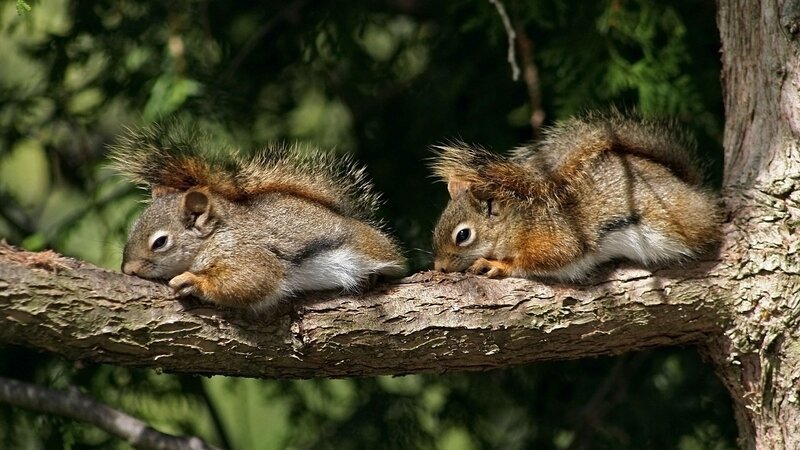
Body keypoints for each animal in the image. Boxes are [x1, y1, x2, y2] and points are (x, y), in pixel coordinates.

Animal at [110, 122, 406, 309]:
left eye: (160, 242)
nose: (128, 270)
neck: (214, 236)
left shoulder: (246, 252)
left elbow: (253, 279)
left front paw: (192, 281)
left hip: (370, 249)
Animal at [430, 110, 721, 281]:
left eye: (463, 235)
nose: (439, 267)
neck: (517, 222)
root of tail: (692, 188)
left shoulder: (554, 238)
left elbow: (546, 259)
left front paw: (496, 264)